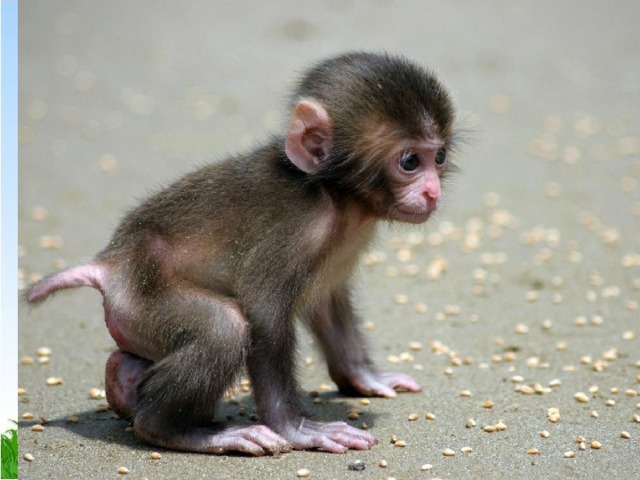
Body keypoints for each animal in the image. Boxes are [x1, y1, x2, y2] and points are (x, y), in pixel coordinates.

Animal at [26, 51, 458, 456]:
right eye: (409, 161)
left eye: (438, 157)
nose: (433, 192)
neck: (336, 196)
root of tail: (110, 264)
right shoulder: (298, 230)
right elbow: (264, 311)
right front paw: (297, 430)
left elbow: (326, 303)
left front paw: (364, 378)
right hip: (141, 296)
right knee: (224, 327)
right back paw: (176, 430)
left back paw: (123, 383)